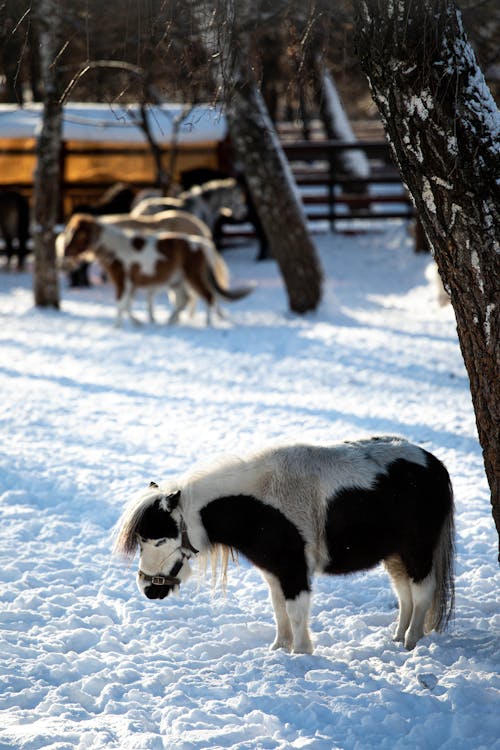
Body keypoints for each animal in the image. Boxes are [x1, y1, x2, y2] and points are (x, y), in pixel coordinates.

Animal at [57, 213, 254, 328]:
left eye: (75, 233)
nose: (65, 252)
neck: (117, 249)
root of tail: (201, 244)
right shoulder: (132, 284)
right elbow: (127, 305)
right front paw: (137, 322)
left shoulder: (123, 281)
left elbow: (121, 303)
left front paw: (118, 326)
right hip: (178, 281)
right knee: (184, 300)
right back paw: (170, 321)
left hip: (192, 277)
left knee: (207, 296)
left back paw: (207, 323)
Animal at [112, 438, 454, 656]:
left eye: (158, 539)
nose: (148, 589)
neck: (258, 506)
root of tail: (434, 464)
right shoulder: (274, 571)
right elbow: (279, 610)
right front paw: (279, 649)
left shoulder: (293, 569)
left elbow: (296, 611)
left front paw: (301, 654)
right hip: (395, 554)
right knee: (404, 592)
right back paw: (397, 637)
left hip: (417, 550)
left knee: (422, 591)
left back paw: (411, 642)